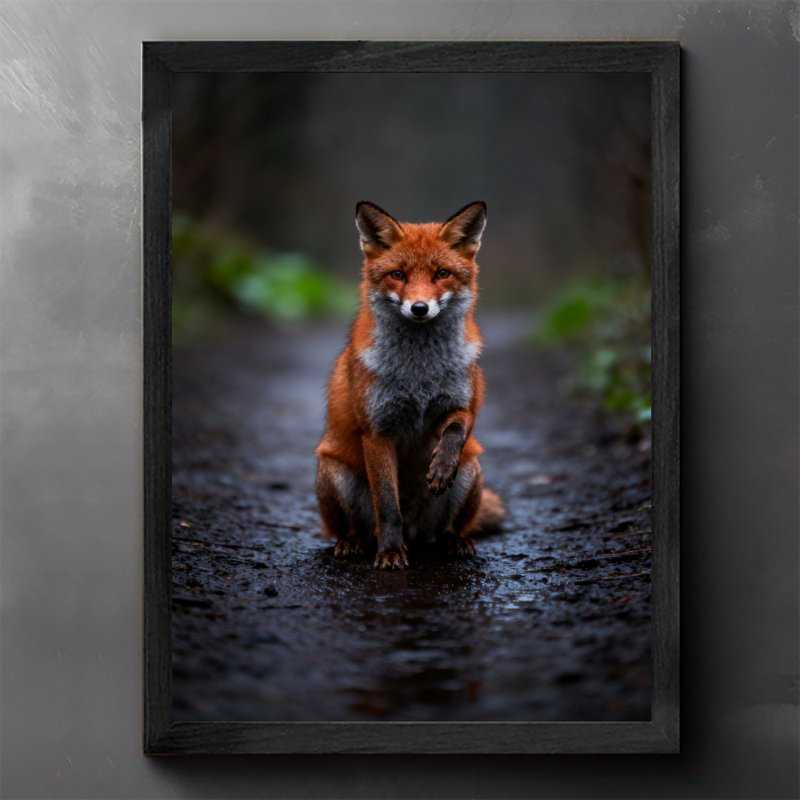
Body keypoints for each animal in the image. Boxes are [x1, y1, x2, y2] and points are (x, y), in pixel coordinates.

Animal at [315, 201, 504, 569]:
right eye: (398, 275)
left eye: (442, 274)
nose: (419, 308)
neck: (419, 373)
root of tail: (418, 533)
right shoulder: (377, 431)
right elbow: (389, 506)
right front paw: (390, 552)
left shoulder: (462, 404)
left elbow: (457, 430)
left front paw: (442, 466)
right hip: (332, 472)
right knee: (352, 528)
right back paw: (353, 542)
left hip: (471, 471)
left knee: (451, 529)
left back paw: (455, 541)